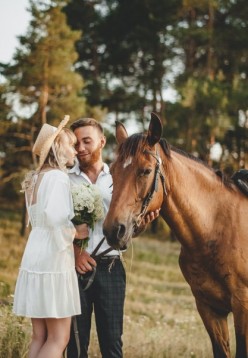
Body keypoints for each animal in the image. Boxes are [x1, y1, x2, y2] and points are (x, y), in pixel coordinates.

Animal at [103, 112, 248, 358]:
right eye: (112, 171)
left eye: (146, 171)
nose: (114, 230)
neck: (216, 229)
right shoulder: (209, 309)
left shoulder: (242, 307)